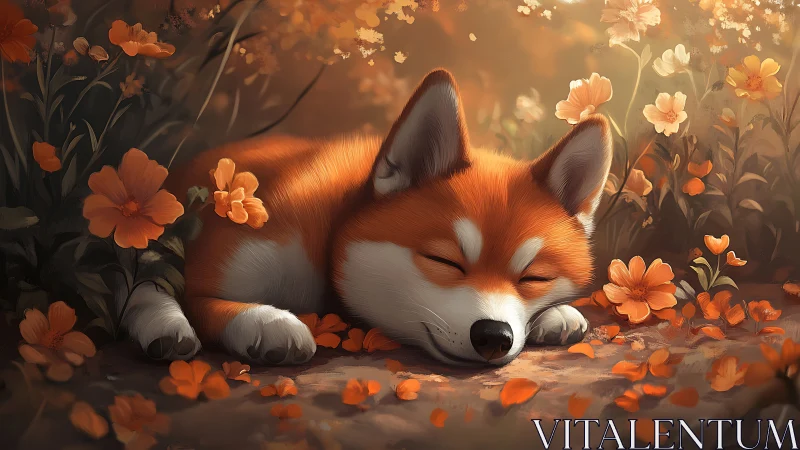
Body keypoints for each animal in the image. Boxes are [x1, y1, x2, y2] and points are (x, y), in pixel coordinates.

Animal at [116, 69, 613, 366]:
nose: (494, 335)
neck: (332, 234)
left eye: (533, 278)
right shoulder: (227, 259)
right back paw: (164, 325)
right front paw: (264, 320)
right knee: (145, 282)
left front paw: (556, 314)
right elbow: (199, 299)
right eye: (445, 261)